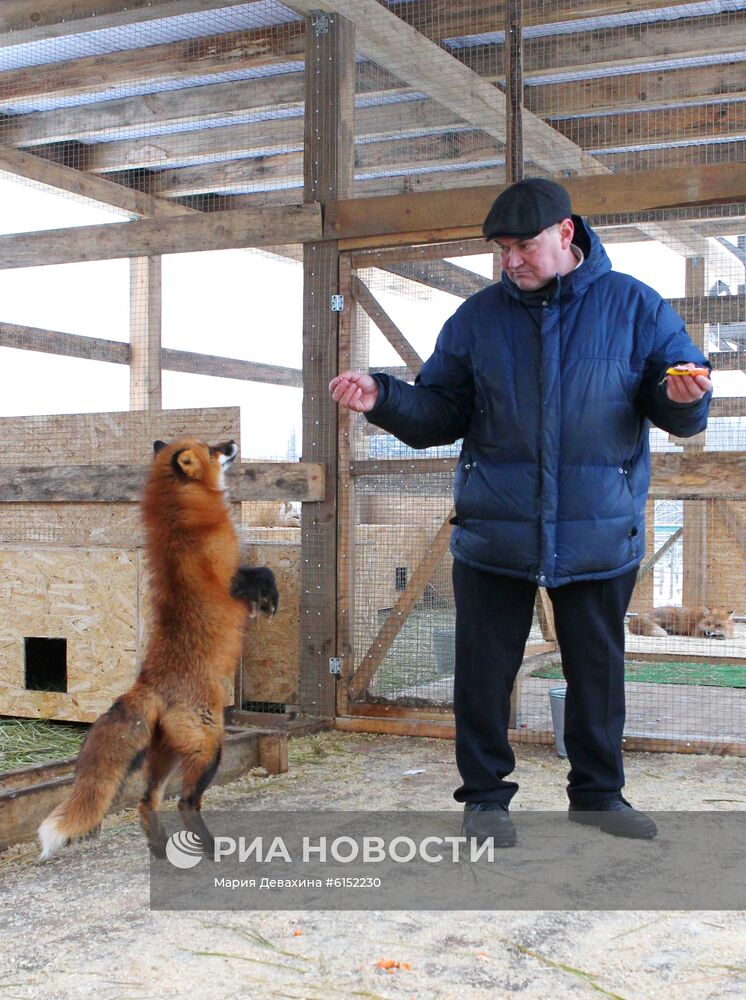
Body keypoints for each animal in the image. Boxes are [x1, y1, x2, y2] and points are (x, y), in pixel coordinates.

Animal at [37, 438, 276, 860]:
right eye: (212, 448)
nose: (233, 442)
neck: (183, 519)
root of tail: (148, 685)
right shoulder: (232, 579)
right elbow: (265, 572)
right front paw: (270, 602)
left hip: (165, 758)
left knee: (146, 801)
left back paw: (161, 849)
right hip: (209, 747)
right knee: (185, 801)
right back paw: (210, 848)